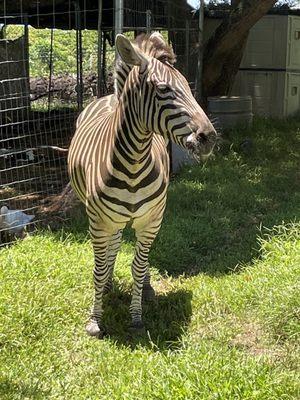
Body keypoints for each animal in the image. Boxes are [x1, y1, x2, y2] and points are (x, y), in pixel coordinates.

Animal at [68, 32, 216, 338]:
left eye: (188, 87)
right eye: (163, 89)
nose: (209, 137)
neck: (134, 164)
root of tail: (112, 96)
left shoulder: (151, 221)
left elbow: (138, 265)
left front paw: (136, 317)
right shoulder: (97, 221)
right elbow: (98, 268)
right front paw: (95, 318)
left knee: (137, 256)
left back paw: (144, 288)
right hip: (107, 219)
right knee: (112, 246)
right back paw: (108, 285)